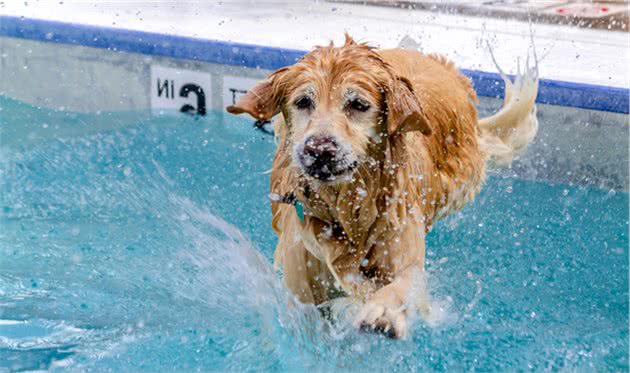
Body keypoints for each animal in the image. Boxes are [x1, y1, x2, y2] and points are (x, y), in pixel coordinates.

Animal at [227, 34, 540, 338]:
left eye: (358, 105)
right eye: (303, 102)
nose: (319, 149)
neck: (347, 210)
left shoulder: (403, 250)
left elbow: (402, 285)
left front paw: (384, 312)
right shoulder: (303, 287)